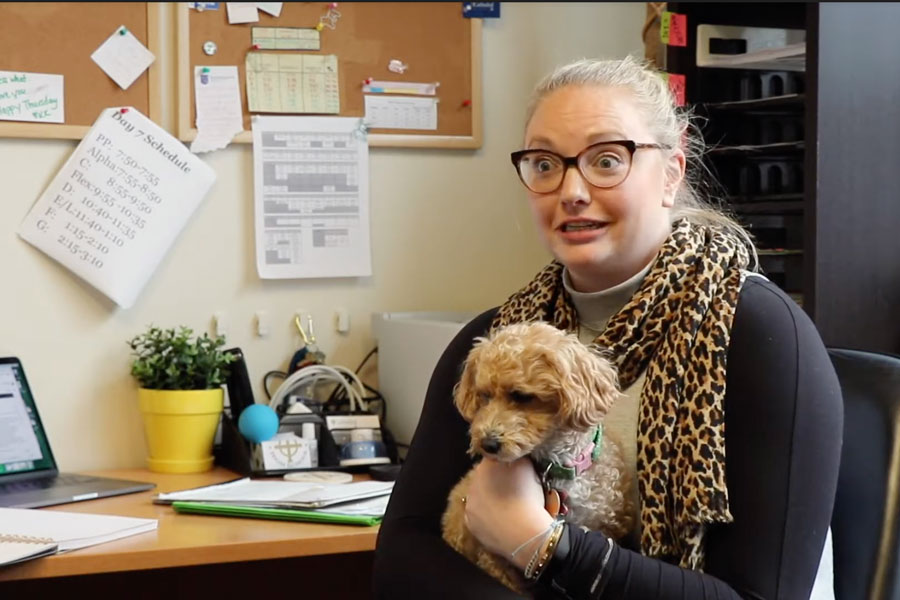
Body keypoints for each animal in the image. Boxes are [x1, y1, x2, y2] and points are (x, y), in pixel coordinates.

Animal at [442, 322, 632, 592]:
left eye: (522, 396)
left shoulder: (606, 524)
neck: (558, 466)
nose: (487, 444)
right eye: (485, 396)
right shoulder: (495, 557)